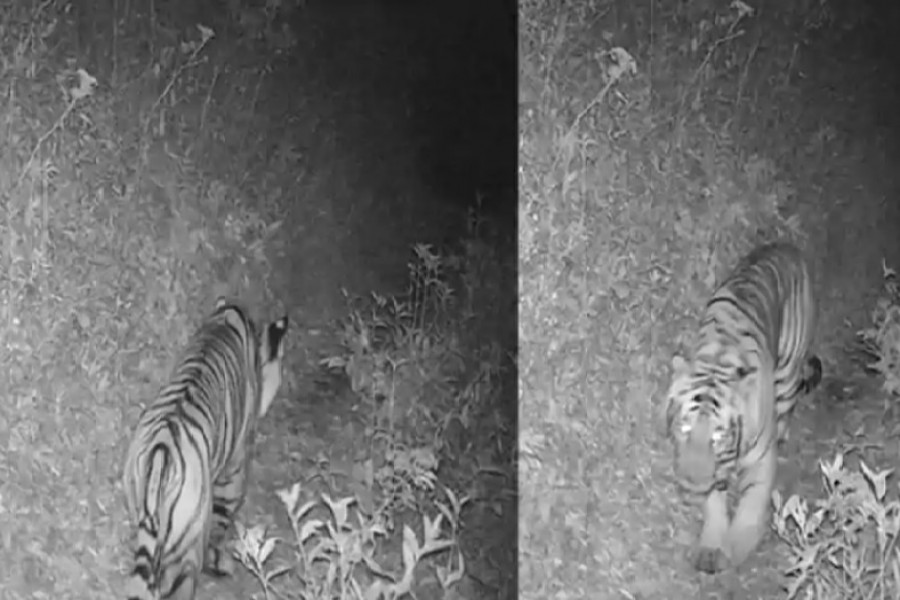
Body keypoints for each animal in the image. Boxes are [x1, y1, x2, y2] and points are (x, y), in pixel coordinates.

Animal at [664, 241, 823, 574]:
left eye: (718, 437)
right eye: (684, 427)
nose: (691, 483)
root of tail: (788, 246)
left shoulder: (761, 458)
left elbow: (752, 503)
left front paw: (737, 548)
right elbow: (714, 503)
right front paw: (712, 548)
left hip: (788, 370)